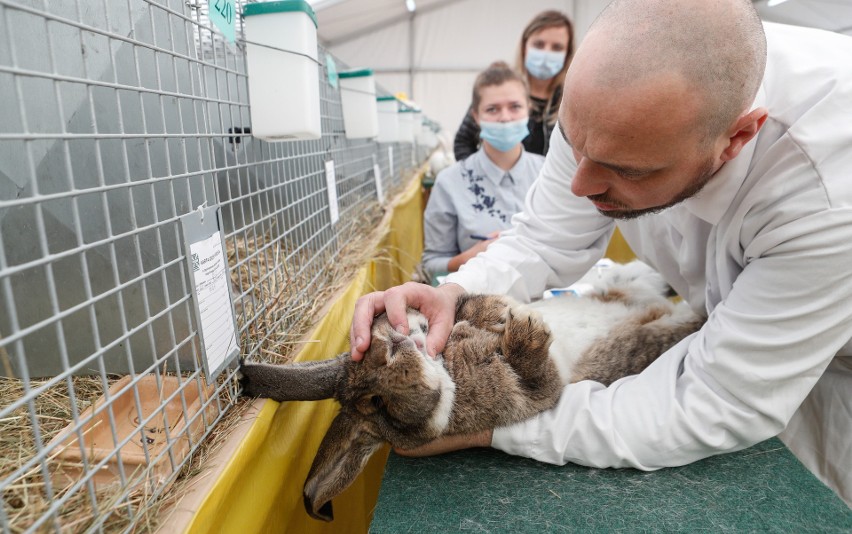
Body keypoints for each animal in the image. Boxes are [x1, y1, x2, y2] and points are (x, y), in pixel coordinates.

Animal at [238, 262, 704, 524]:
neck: (448, 369)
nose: (397, 346)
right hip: (645, 341)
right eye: (377, 404)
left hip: (630, 287)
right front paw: (525, 331)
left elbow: (468, 306)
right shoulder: (531, 394)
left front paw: (499, 314)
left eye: (369, 346)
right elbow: (537, 376)